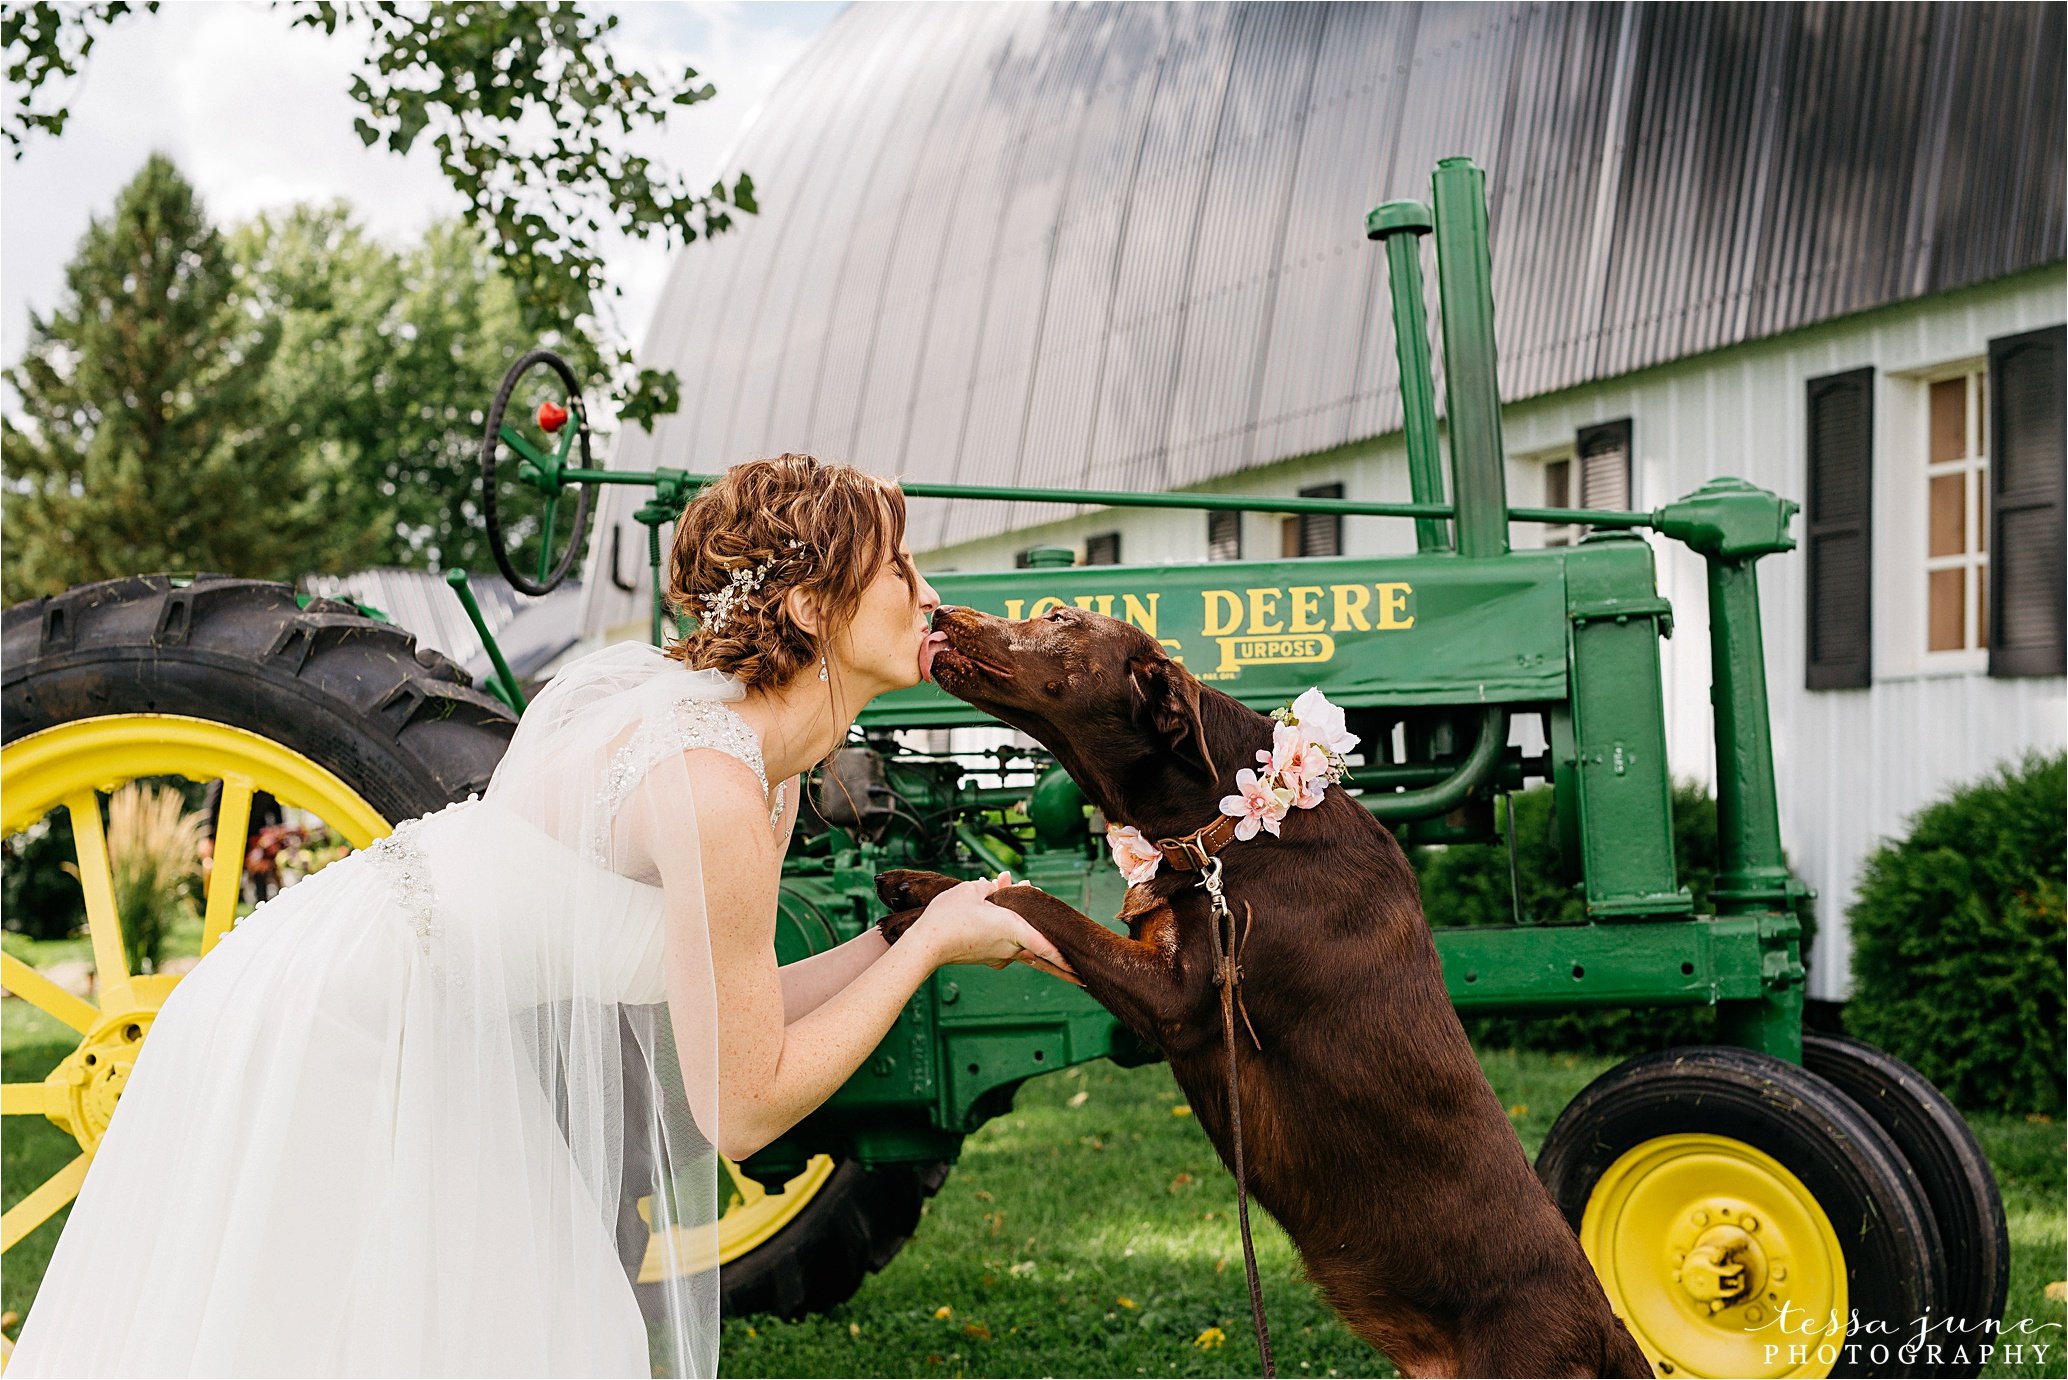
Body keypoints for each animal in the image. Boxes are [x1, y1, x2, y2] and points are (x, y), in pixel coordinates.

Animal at [880, 608, 1654, 1380]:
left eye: (1060, 618)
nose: (939, 611)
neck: (1224, 832)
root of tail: (1606, 1334)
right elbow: (1018, 899)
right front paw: (920, 890)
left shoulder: (1176, 1002)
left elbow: (1039, 903)